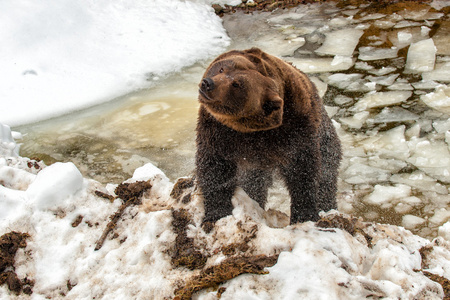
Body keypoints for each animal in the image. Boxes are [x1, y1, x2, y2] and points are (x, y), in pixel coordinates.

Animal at [195, 48, 340, 229]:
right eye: (221, 69)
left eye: (237, 84)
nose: (208, 83)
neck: (252, 130)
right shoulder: (218, 131)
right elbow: (214, 169)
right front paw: (215, 214)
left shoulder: (296, 128)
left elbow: (303, 171)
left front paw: (304, 216)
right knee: (253, 184)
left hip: (326, 139)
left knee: (327, 176)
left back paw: (328, 209)